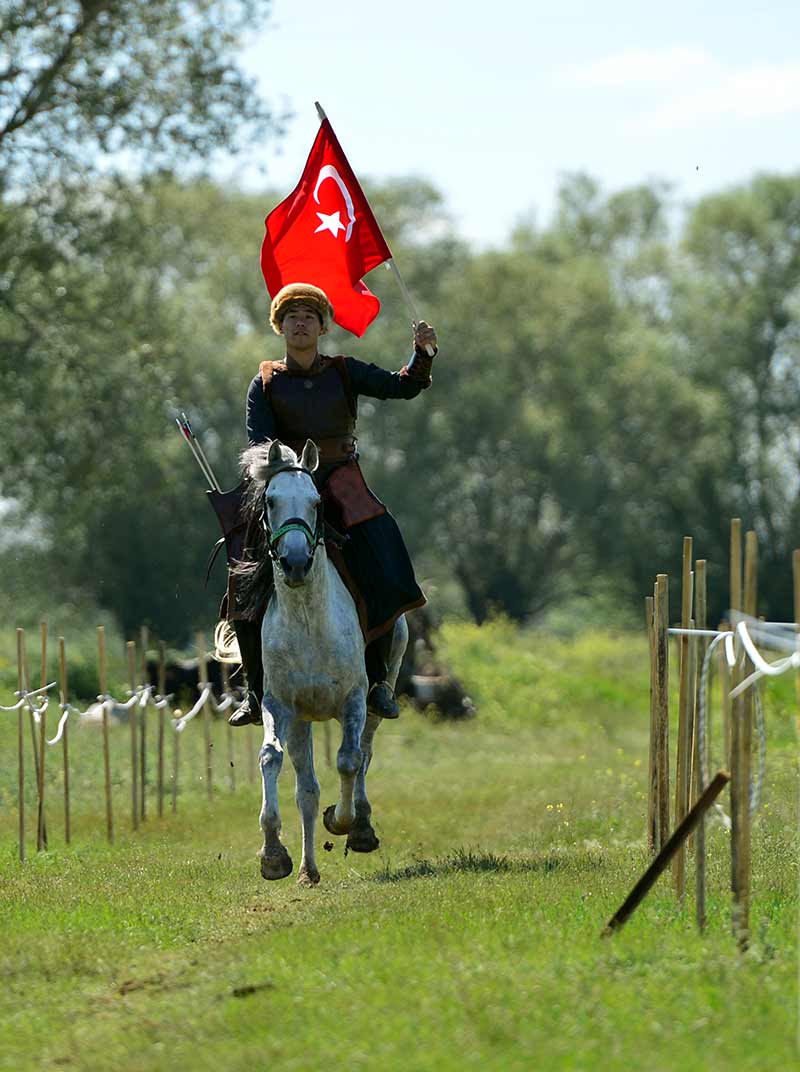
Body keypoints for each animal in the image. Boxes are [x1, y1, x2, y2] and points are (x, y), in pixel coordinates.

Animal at [216, 439, 405, 883]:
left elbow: (349, 760)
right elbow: (271, 759)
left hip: (376, 698)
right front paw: (273, 854)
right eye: (270, 500)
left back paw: (361, 827)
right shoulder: (280, 705)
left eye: (317, 501)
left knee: (365, 751)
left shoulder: (353, 700)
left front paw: (342, 820)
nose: (297, 562)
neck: (307, 618)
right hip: (302, 721)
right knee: (307, 787)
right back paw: (308, 869)